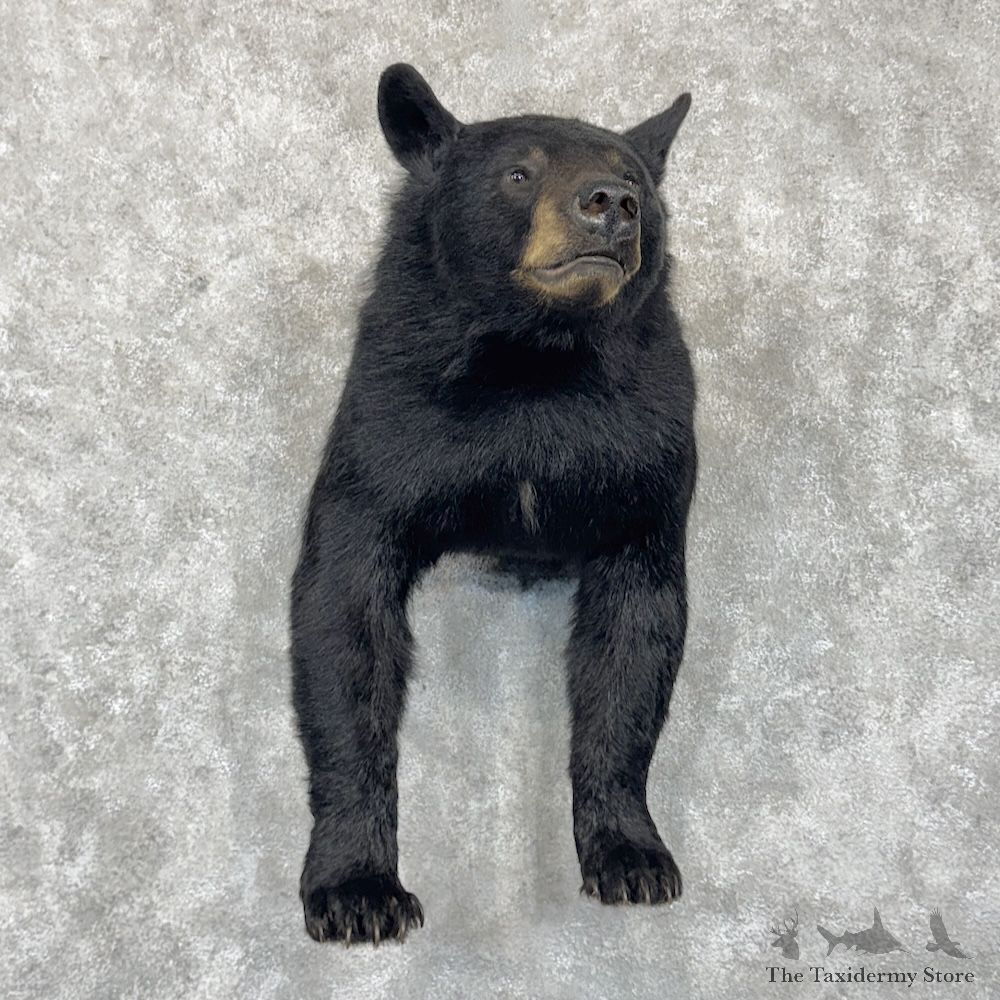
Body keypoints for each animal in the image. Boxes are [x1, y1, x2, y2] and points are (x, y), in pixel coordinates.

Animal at [290, 63, 695, 945]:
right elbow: (344, 627)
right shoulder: (390, 428)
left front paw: (631, 856)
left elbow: (633, 645)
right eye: (519, 173)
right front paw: (356, 890)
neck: (534, 361)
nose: (614, 202)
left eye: (640, 178)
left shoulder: (647, 451)